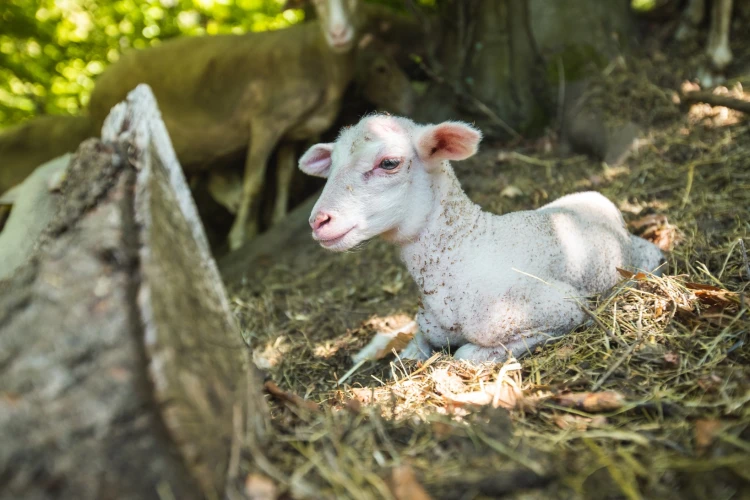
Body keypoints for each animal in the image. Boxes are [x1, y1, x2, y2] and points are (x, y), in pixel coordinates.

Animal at [298, 115, 664, 362]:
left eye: (389, 163)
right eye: (331, 166)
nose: (318, 221)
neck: (465, 252)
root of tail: (596, 197)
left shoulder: (562, 306)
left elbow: (467, 355)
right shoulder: (426, 325)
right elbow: (410, 352)